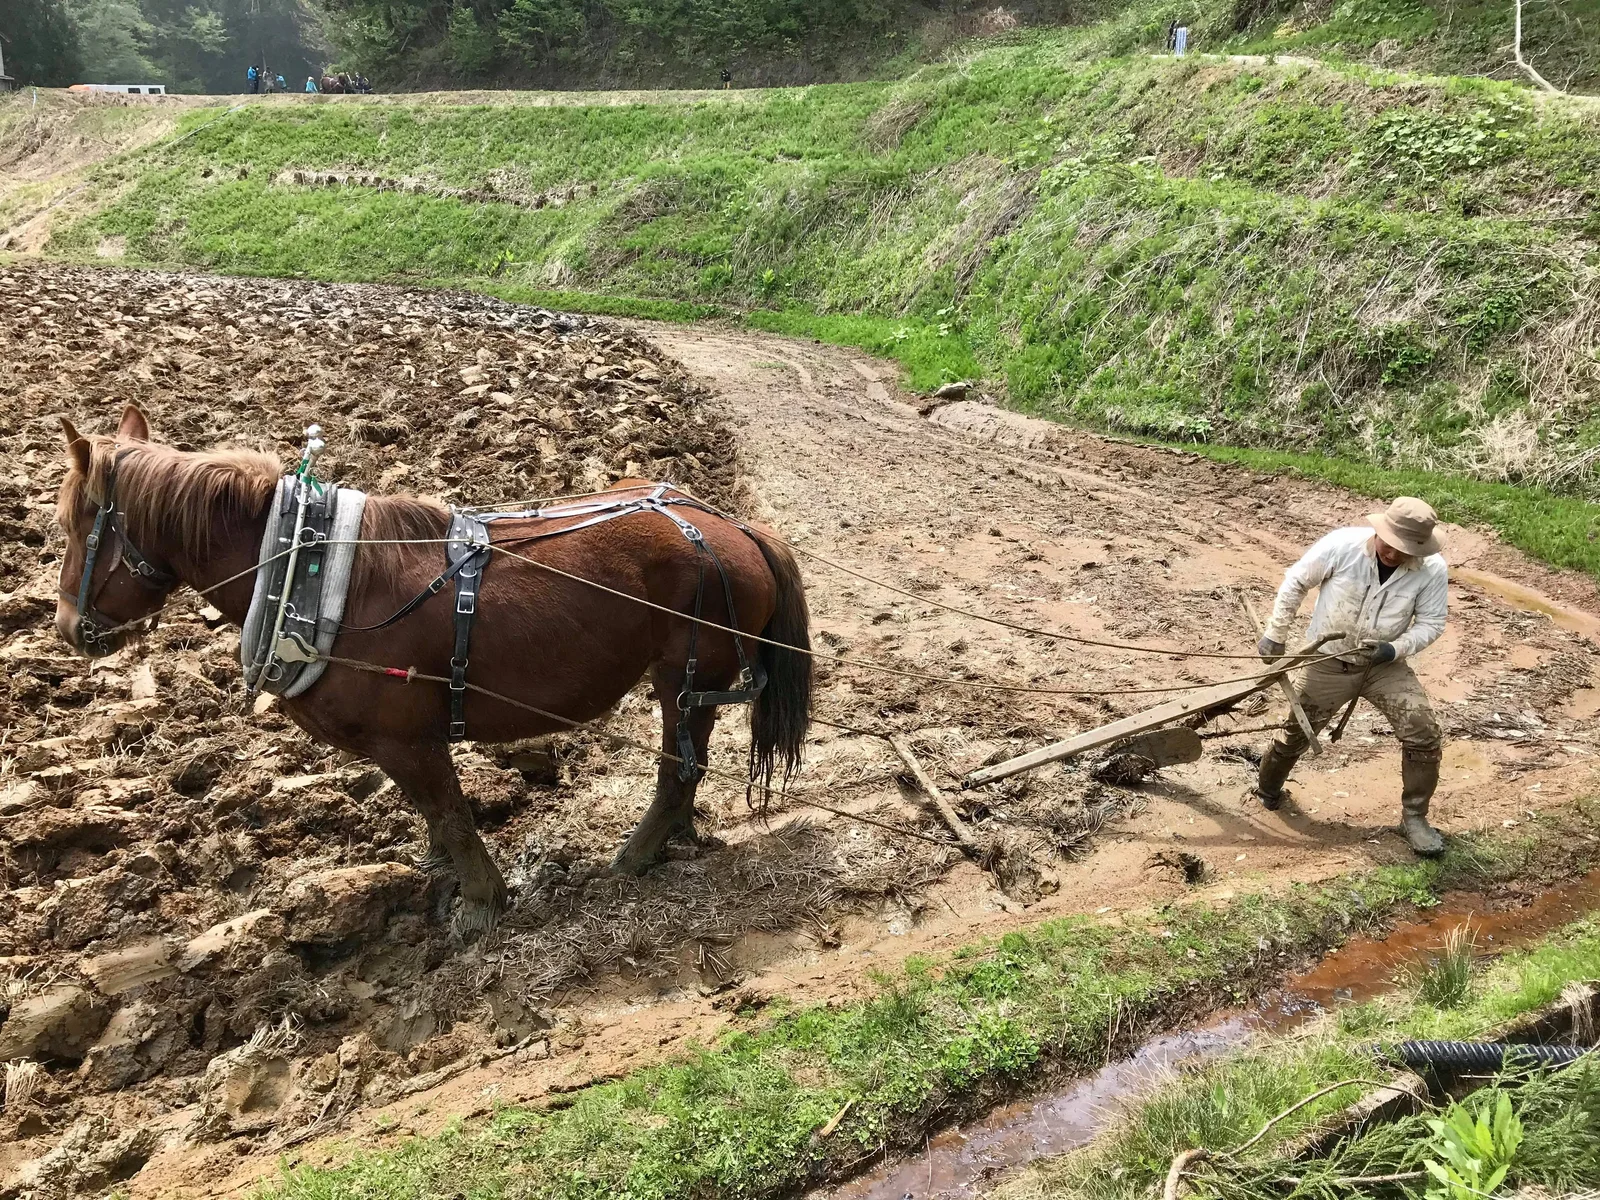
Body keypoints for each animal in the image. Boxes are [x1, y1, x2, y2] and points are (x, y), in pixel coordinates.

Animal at [53, 406, 813, 935]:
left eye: (73, 526)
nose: (66, 629)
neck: (310, 576)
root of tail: (736, 529)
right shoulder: (402, 748)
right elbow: (431, 815)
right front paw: (438, 869)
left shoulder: (406, 739)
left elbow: (448, 809)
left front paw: (480, 901)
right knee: (686, 768)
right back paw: (677, 837)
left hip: (686, 679)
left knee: (679, 766)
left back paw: (637, 855)